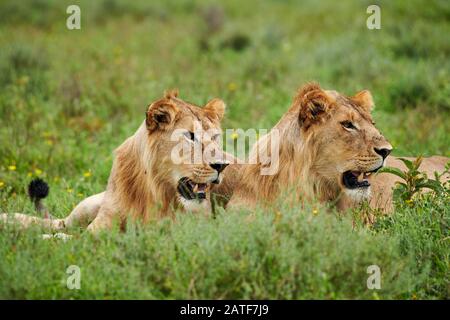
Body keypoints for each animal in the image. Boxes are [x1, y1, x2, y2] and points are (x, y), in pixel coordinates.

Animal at [0, 91, 229, 234]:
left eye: (215, 137)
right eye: (190, 136)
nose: (221, 165)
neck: (152, 188)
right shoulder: (101, 224)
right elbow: (68, 239)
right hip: (87, 206)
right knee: (58, 223)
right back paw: (9, 220)